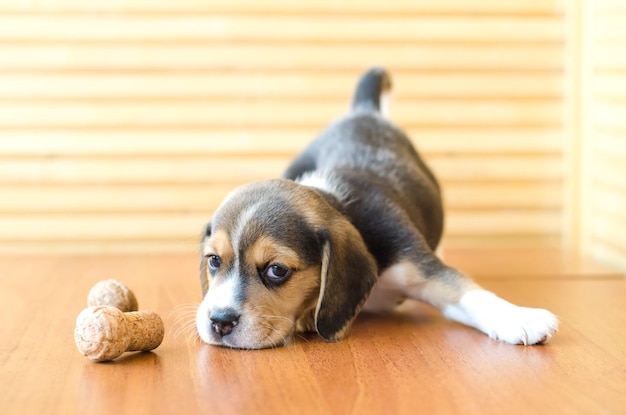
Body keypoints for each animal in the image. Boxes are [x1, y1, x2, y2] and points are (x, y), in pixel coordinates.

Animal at [195, 68, 556, 352]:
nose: (219, 321)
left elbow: (468, 292)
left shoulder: (421, 268)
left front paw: (520, 317)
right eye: (214, 261)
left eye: (277, 270)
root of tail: (363, 110)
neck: (341, 204)